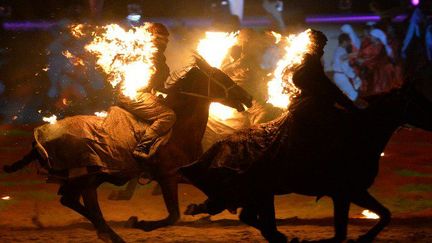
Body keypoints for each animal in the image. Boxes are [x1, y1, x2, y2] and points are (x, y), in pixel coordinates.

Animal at [2, 57, 253, 243]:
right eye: (221, 76)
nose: (249, 97)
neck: (179, 128)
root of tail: (40, 137)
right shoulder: (167, 176)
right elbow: (173, 215)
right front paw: (139, 223)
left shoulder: (184, 172)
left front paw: (207, 207)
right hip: (87, 177)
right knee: (82, 203)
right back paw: (109, 233)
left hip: (88, 178)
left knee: (73, 201)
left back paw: (109, 232)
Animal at [181, 68, 432, 243]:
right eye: (418, 100)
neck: (360, 134)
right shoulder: (348, 191)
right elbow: (356, 227)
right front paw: (360, 237)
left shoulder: (347, 193)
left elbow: (379, 217)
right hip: (260, 193)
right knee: (255, 220)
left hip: (261, 194)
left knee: (251, 218)